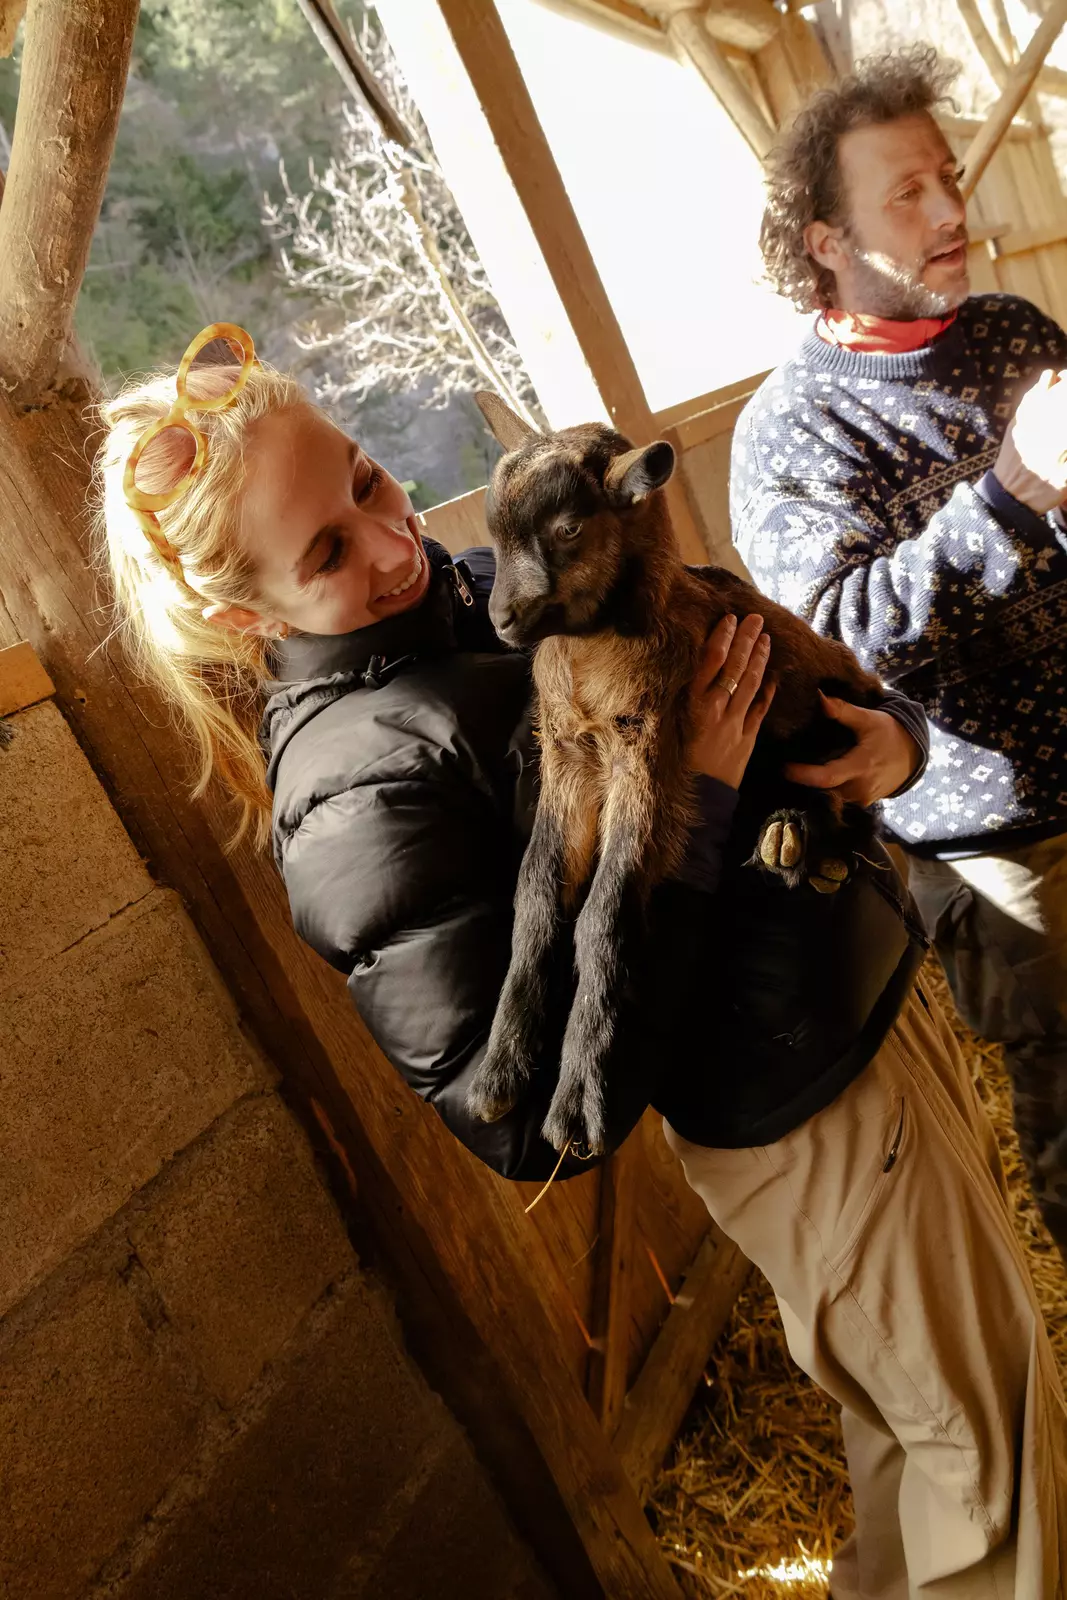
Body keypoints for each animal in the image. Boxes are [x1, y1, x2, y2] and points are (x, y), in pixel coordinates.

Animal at [466, 394, 885, 1157]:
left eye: (568, 528)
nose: (502, 617)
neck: (591, 658)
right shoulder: (567, 757)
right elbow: (537, 899)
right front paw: (498, 1076)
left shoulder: (650, 748)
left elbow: (603, 911)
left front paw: (577, 1107)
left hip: (830, 721)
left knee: (854, 810)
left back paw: (800, 843)